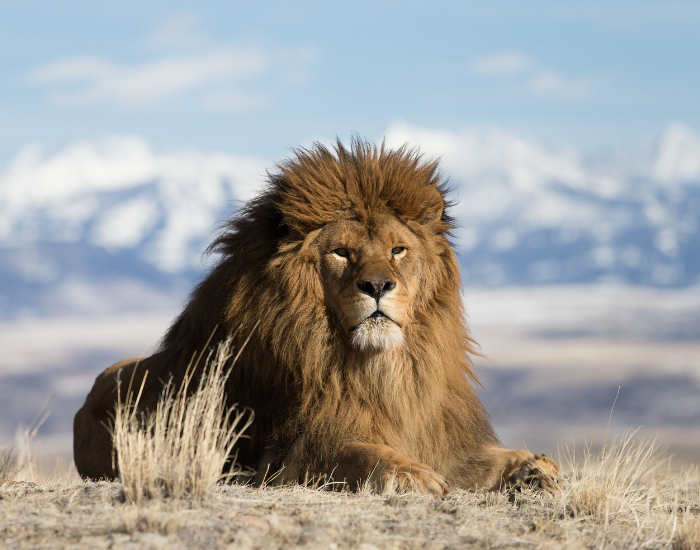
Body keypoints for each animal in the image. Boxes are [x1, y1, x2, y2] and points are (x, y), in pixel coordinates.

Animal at [73, 139, 559, 495]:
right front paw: (411, 475)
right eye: (341, 252)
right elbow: (358, 454)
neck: (381, 369)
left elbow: (488, 459)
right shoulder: (287, 455)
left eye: (398, 250)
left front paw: (534, 468)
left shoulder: (439, 434)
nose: (378, 285)